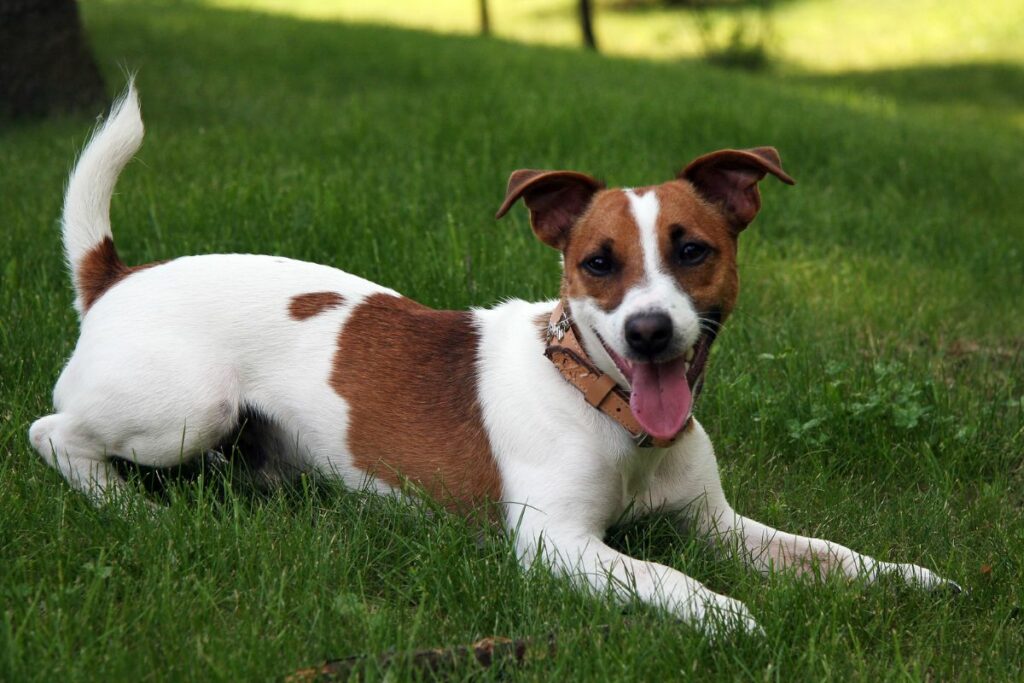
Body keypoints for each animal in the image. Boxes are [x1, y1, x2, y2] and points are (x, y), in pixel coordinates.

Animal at [32, 85, 958, 634]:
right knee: (53, 432)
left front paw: (907, 577)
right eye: (597, 262)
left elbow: (827, 553)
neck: (602, 402)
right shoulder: (560, 546)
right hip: (189, 411)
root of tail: (117, 277)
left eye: (693, 249)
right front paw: (731, 615)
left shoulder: (717, 524)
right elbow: (667, 577)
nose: (649, 332)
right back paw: (131, 507)